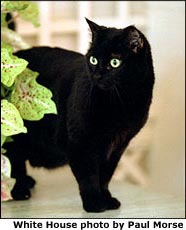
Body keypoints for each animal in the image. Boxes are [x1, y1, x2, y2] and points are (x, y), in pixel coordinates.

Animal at [5, 18, 154, 213]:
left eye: (115, 62)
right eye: (93, 59)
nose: (97, 74)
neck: (121, 102)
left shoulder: (117, 145)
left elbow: (105, 176)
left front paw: (108, 200)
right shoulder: (80, 143)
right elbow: (88, 177)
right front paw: (95, 204)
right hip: (14, 133)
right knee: (13, 162)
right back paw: (19, 191)